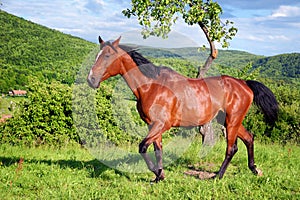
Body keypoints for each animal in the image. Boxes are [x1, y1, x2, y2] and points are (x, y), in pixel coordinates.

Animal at [86, 36, 278, 183]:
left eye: (108, 55)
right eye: (97, 55)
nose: (91, 79)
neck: (151, 86)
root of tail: (244, 83)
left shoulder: (161, 125)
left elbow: (142, 147)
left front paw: (157, 173)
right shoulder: (153, 126)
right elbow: (158, 150)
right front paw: (159, 176)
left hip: (232, 121)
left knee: (232, 148)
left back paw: (217, 176)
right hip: (230, 121)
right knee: (249, 138)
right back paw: (254, 169)